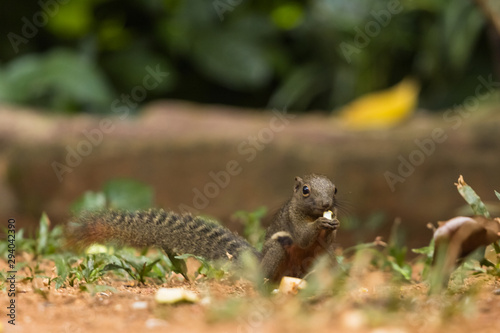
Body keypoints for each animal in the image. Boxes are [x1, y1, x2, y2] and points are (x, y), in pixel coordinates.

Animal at [67, 174, 340, 280]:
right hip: (276, 253)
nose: (327, 204)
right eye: (306, 190)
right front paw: (321, 223)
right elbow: (302, 237)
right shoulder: (292, 220)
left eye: (335, 189)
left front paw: (333, 223)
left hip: (323, 260)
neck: (307, 212)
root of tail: (257, 263)